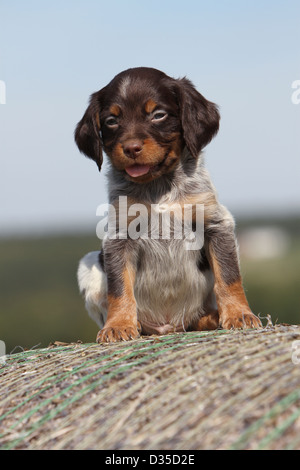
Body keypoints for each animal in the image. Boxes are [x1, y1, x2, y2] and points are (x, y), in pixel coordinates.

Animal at [75, 67, 262, 342]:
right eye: (111, 121)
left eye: (158, 115)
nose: (131, 148)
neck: (158, 186)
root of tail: (167, 327)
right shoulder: (119, 235)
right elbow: (119, 288)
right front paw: (118, 325)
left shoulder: (216, 224)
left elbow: (229, 277)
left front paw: (239, 314)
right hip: (88, 264)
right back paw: (135, 325)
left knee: (195, 320)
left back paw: (212, 317)